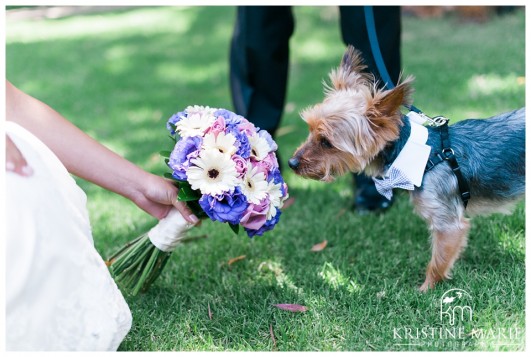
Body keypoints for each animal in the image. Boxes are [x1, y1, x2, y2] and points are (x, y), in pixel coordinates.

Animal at [294, 45, 524, 290]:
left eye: (326, 143)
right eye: (309, 130)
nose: (291, 163)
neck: (419, 155)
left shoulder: (448, 223)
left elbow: (438, 262)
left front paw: (425, 290)